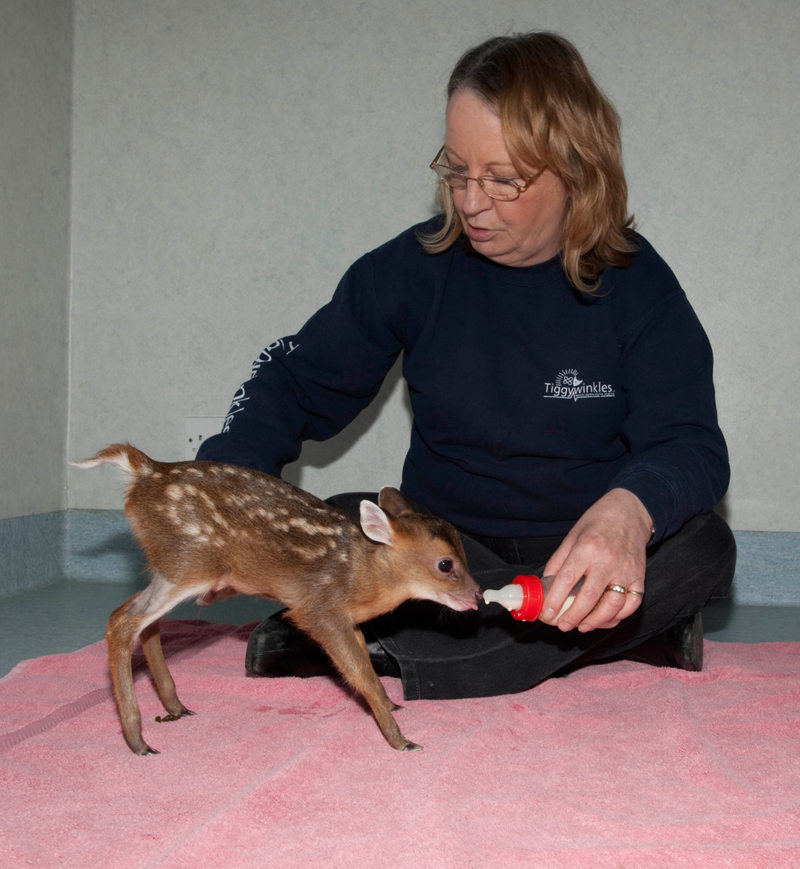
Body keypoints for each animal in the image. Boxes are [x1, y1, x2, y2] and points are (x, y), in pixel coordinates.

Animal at [75, 444, 478, 756]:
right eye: (446, 564)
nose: (476, 596)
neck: (362, 574)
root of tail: (145, 470)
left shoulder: (346, 618)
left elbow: (363, 658)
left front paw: (394, 708)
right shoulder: (319, 608)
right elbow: (360, 673)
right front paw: (402, 740)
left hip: (173, 565)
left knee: (141, 619)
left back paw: (175, 707)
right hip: (190, 561)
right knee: (124, 621)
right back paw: (138, 740)